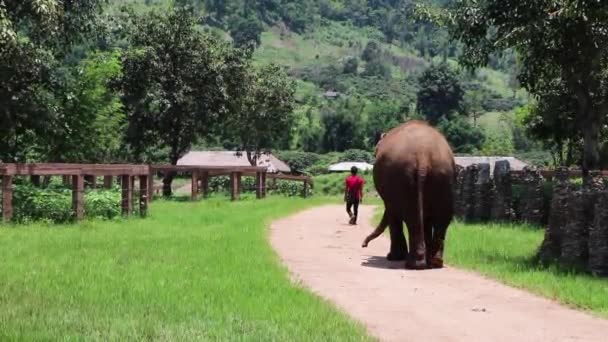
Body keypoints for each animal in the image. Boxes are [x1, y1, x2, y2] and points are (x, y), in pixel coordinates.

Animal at [366, 120, 456, 270]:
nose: (364, 245)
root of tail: (423, 155)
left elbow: (392, 212)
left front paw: (393, 258)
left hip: (404, 177)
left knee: (412, 217)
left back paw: (414, 264)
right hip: (443, 176)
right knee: (441, 217)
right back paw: (434, 263)